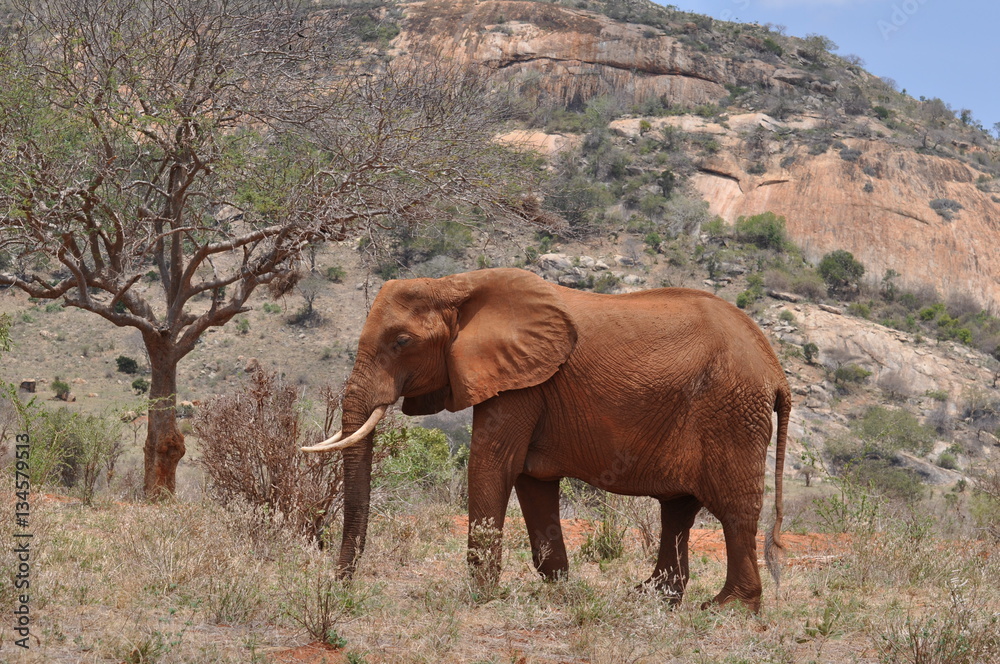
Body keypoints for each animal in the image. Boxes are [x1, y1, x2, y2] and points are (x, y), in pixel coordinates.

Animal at [303, 267, 790, 612]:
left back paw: (728, 609)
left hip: (731, 411)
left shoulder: (522, 382)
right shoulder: (526, 381)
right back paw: (649, 598)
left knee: (734, 511)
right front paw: (558, 590)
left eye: (402, 341)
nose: (340, 585)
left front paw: (481, 597)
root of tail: (775, 368)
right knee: (678, 511)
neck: (457, 285)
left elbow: (492, 464)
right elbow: (531, 479)